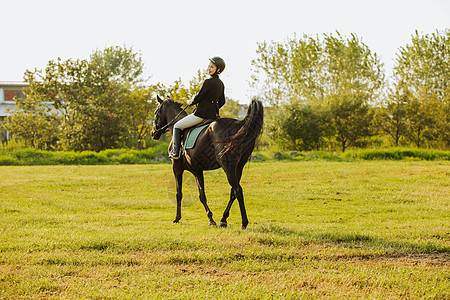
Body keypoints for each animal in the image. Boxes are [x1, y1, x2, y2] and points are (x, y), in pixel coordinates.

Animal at [151, 96, 264, 230]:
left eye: (155, 112)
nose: (153, 133)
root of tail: (240, 124)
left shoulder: (176, 167)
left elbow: (179, 193)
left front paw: (177, 218)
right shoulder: (197, 170)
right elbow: (202, 195)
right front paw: (211, 219)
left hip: (228, 165)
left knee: (238, 190)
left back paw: (243, 223)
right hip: (239, 166)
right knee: (233, 191)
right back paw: (223, 220)